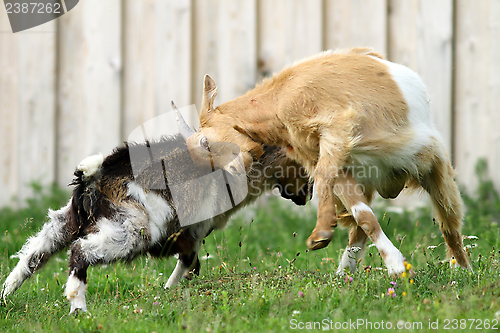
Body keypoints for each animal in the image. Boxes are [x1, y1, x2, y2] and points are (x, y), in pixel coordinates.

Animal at [1, 113, 310, 312]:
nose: (308, 192)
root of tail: (97, 174)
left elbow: (191, 265)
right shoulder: (193, 231)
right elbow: (188, 263)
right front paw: (169, 290)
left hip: (66, 223)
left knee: (32, 256)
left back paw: (6, 296)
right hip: (133, 231)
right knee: (80, 251)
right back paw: (78, 307)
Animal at [184, 47, 468, 274]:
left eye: (205, 142)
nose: (232, 174)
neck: (278, 99)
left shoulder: (336, 129)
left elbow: (322, 177)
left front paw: (320, 234)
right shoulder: (336, 159)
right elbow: (363, 215)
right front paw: (396, 266)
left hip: (433, 164)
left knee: (449, 223)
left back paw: (462, 271)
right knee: (360, 226)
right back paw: (344, 274)